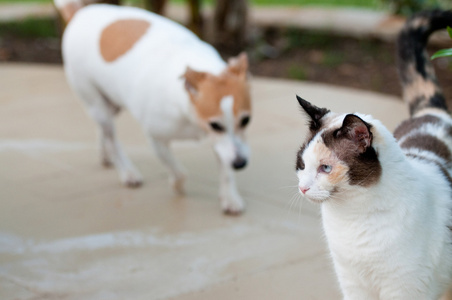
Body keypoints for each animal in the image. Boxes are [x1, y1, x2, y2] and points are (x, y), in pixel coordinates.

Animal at [54, 0, 252, 216]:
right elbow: (178, 171)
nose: (240, 164)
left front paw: (229, 198)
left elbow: (225, 171)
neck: (187, 109)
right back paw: (127, 171)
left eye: (246, 120)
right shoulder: (157, 139)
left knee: (104, 131)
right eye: (215, 125)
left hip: (112, 102)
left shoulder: (223, 145)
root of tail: (79, 12)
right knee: (112, 138)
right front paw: (176, 185)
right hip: (96, 103)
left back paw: (106, 157)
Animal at [294, 9, 452, 300]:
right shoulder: (353, 285)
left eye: (325, 168)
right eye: (301, 165)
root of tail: (433, 113)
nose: (303, 188)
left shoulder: (403, 289)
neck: (351, 219)